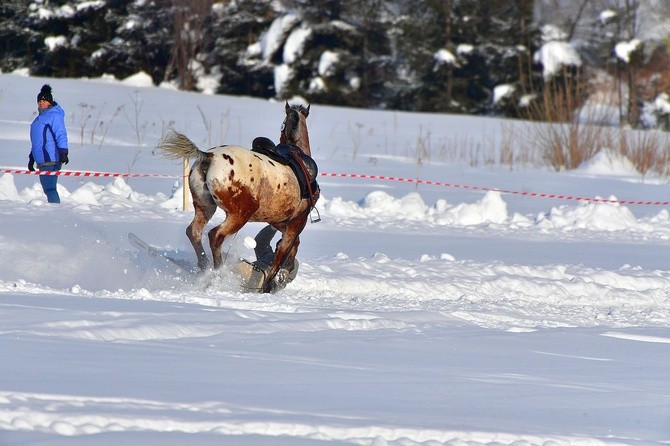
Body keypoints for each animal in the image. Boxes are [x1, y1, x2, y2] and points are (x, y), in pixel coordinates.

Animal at [158, 103, 318, 294]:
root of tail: (208, 156)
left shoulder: (278, 221)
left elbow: (292, 246)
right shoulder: (296, 222)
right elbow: (283, 250)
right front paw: (273, 282)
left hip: (205, 208)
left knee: (194, 232)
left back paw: (204, 267)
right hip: (239, 215)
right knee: (215, 235)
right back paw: (218, 273)